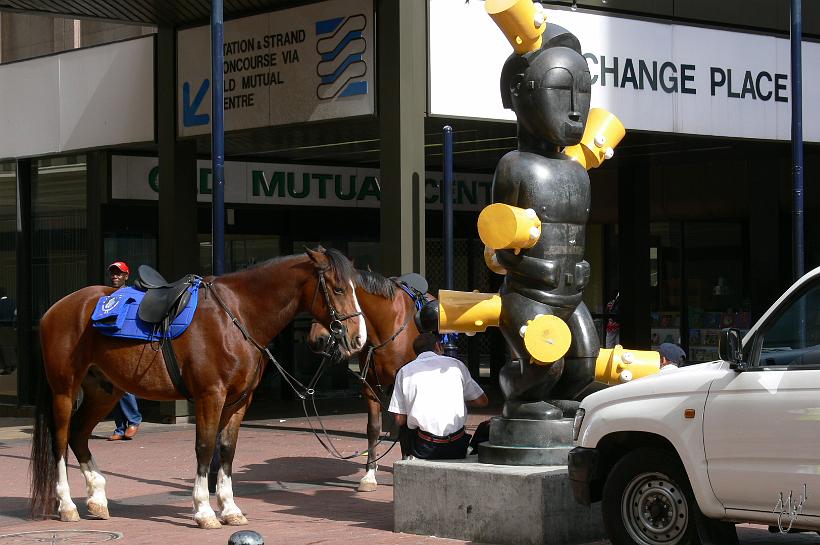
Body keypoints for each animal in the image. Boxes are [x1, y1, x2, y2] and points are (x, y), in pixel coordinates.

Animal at [30, 246, 366, 528]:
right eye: (338, 289)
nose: (358, 338)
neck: (236, 316)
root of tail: (55, 309)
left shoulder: (239, 401)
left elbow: (227, 451)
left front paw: (230, 509)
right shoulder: (210, 396)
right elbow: (205, 448)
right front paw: (204, 511)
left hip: (104, 392)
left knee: (78, 434)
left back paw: (97, 499)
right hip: (64, 390)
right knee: (60, 440)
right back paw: (67, 505)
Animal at [304, 270, 426, 490]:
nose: (315, 340)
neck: (386, 326)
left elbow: (405, 424)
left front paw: (406, 461)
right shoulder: (369, 386)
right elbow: (373, 428)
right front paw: (369, 474)